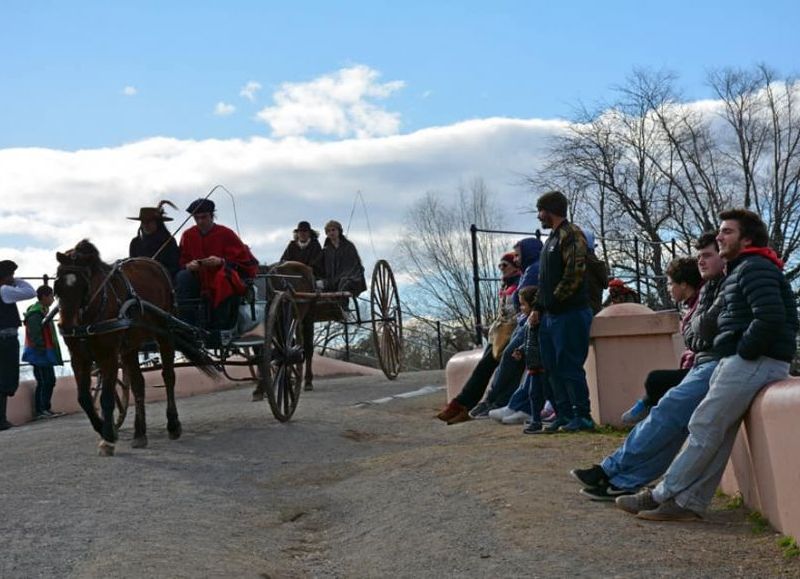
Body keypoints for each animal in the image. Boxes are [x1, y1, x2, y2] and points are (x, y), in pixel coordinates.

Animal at [53, 240, 217, 458]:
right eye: (57, 285)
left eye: (84, 286)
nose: (67, 326)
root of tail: (153, 263)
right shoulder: (78, 357)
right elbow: (84, 399)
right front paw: (104, 428)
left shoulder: (109, 355)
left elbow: (106, 397)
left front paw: (108, 439)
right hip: (130, 347)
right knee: (138, 384)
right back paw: (140, 433)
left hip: (165, 333)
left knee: (168, 377)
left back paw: (173, 424)